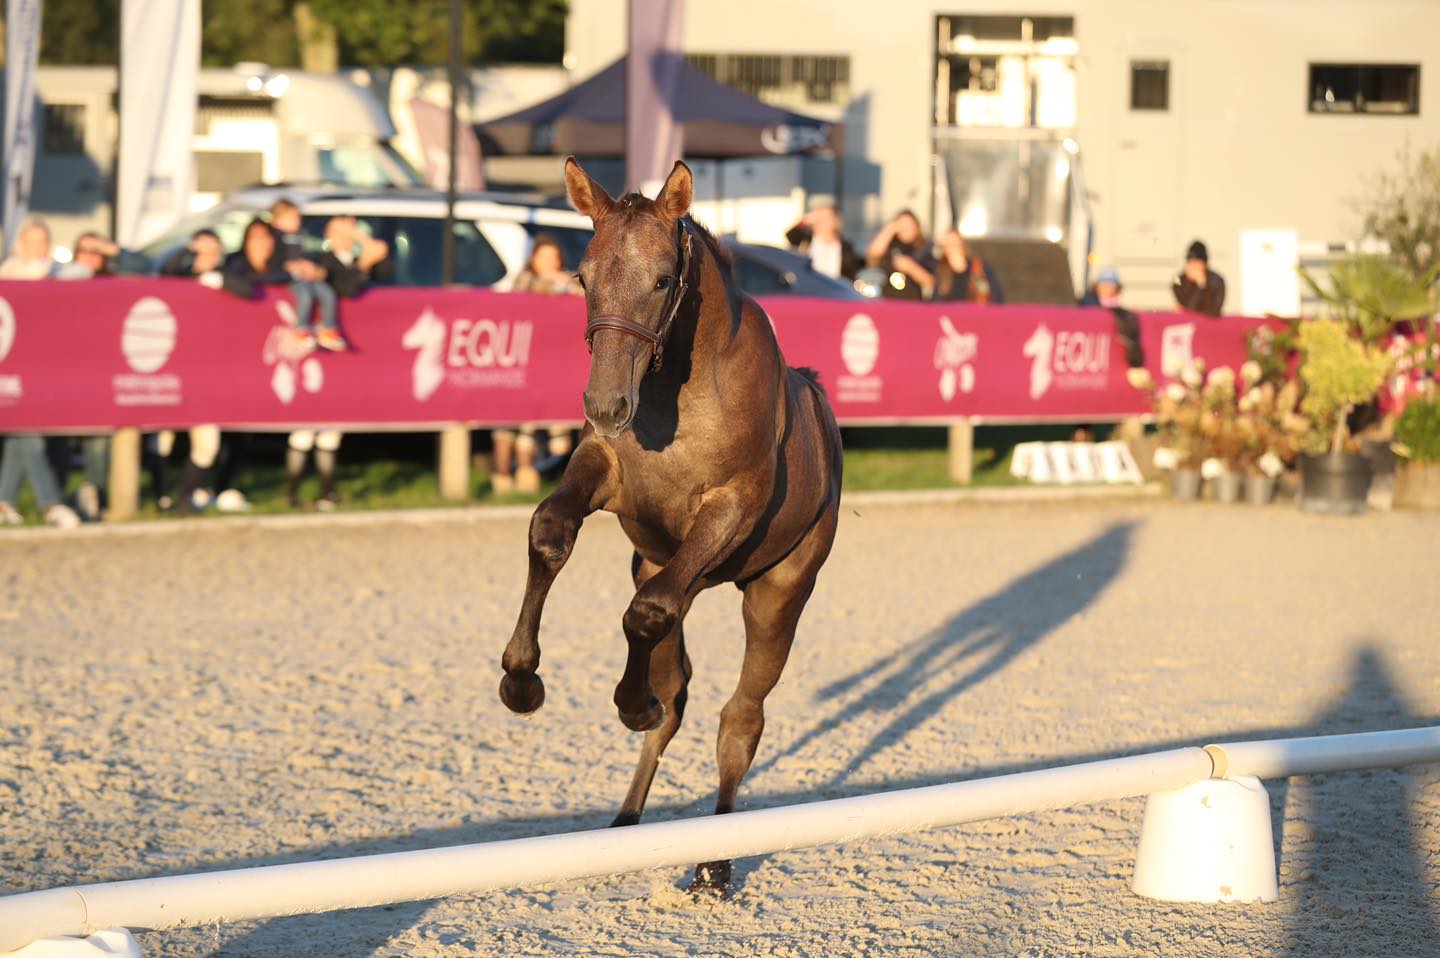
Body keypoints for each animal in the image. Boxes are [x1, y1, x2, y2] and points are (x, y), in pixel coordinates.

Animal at [498, 156, 843, 894]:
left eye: (662, 280)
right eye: (582, 276)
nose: (604, 403)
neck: (679, 389)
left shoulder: (731, 508)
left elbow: (647, 614)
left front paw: (629, 702)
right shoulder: (603, 470)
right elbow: (550, 534)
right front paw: (521, 679)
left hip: (776, 594)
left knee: (739, 716)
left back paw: (714, 861)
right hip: (659, 559)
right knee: (676, 690)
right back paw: (627, 821)